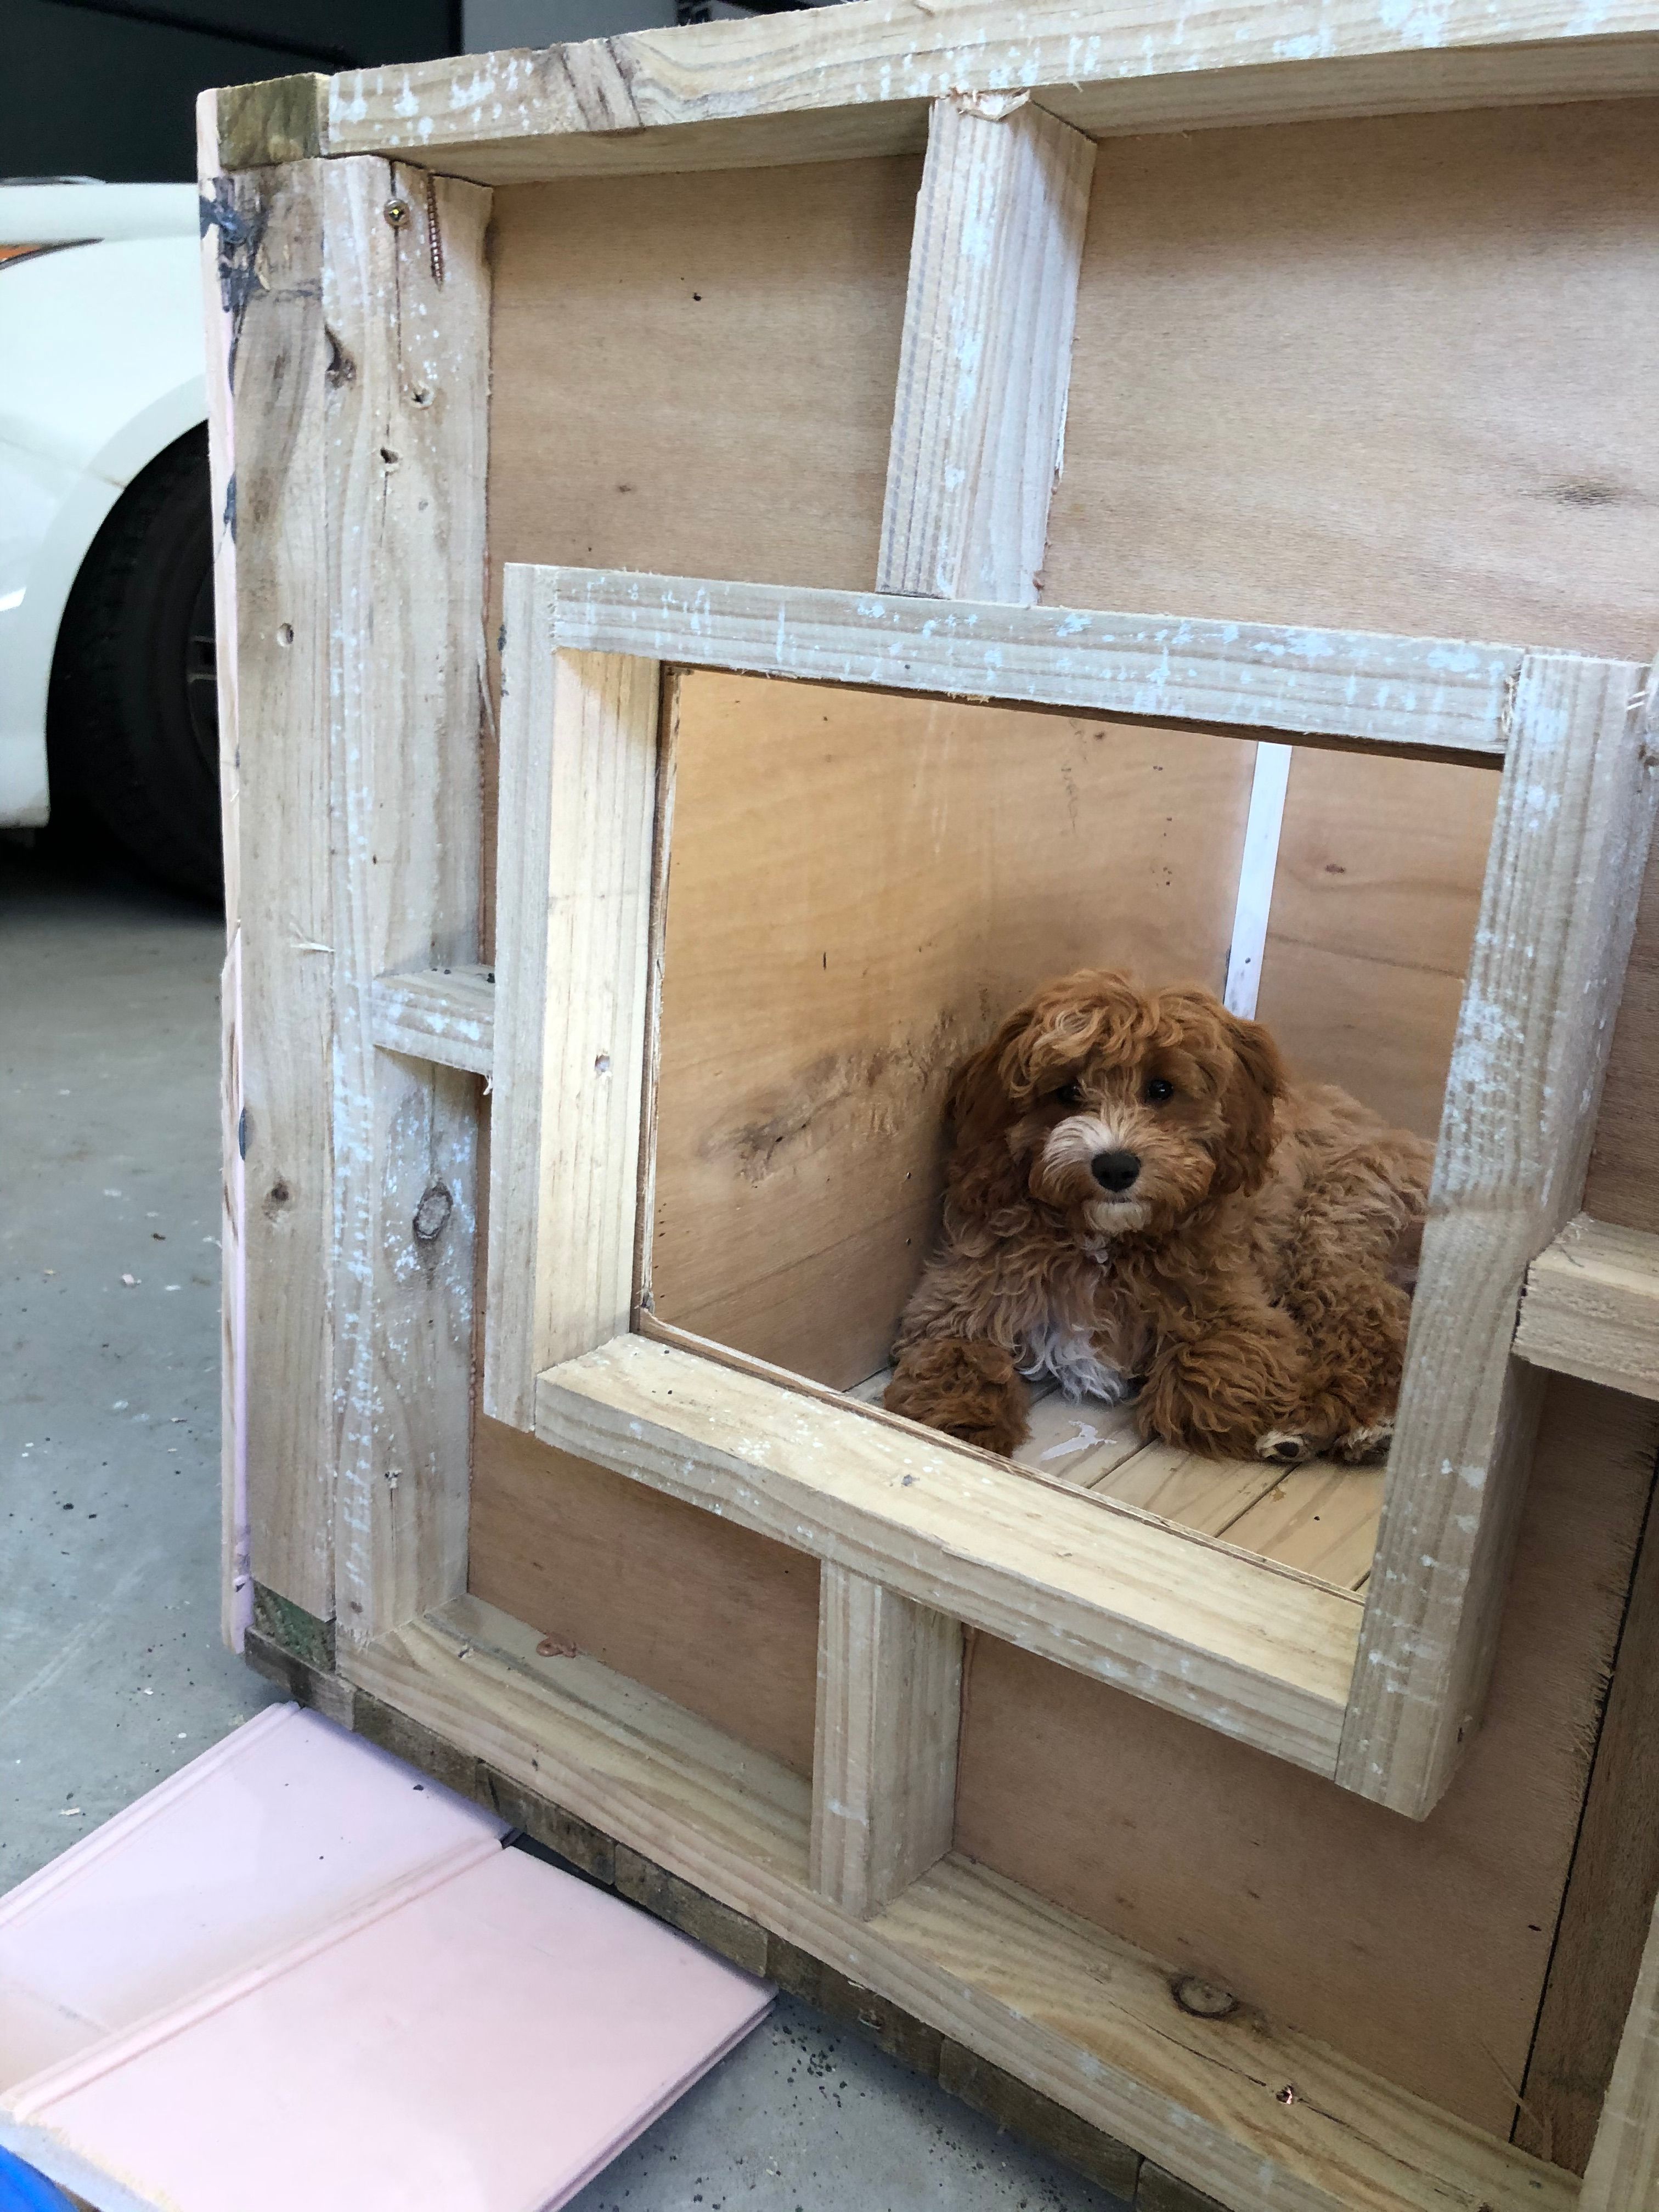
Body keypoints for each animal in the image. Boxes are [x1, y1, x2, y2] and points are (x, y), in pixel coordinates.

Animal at [889, 973, 1433, 1469]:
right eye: (1066, 1091)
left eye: (1161, 1089)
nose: (1115, 1167)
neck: (1105, 1242)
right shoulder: (959, 1298)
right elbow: (953, 1357)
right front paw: (962, 1425)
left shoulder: (1241, 1315)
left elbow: (1200, 1385)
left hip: (1334, 1227)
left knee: (1374, 1326)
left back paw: (1353, 1425)